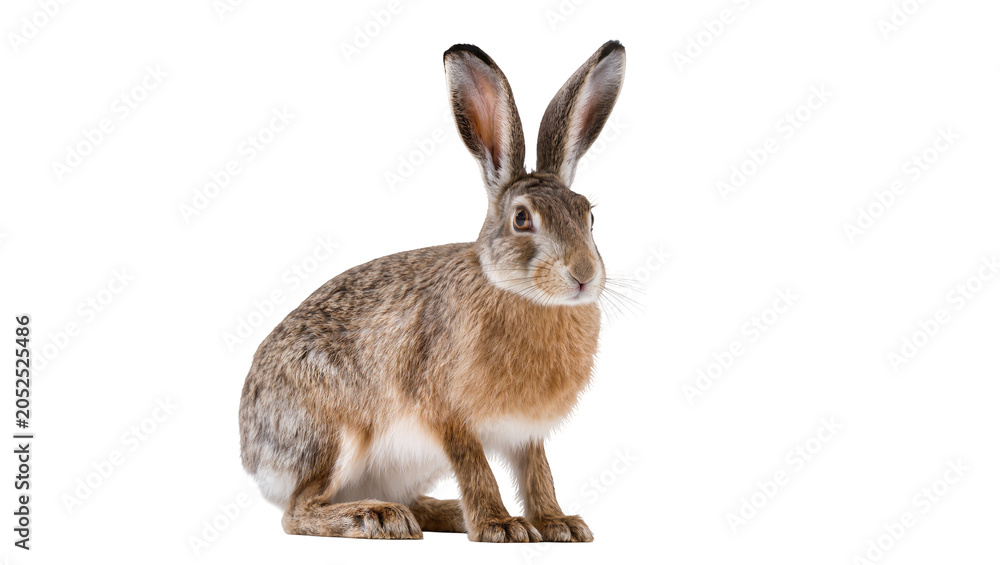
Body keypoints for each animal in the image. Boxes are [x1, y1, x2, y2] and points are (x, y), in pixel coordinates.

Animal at [239, 40, 625, 543]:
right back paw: (376, 517)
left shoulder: (527, 433)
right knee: (298, 509)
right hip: (334, 436)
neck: (521, 294)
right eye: (522, 219)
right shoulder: (449, 417)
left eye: (589, 216)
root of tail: (252, 453)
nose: (583, 274)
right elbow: (477, 470)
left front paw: (558, 523)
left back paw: (440, 513)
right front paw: (500, 526)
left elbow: (538, 473)